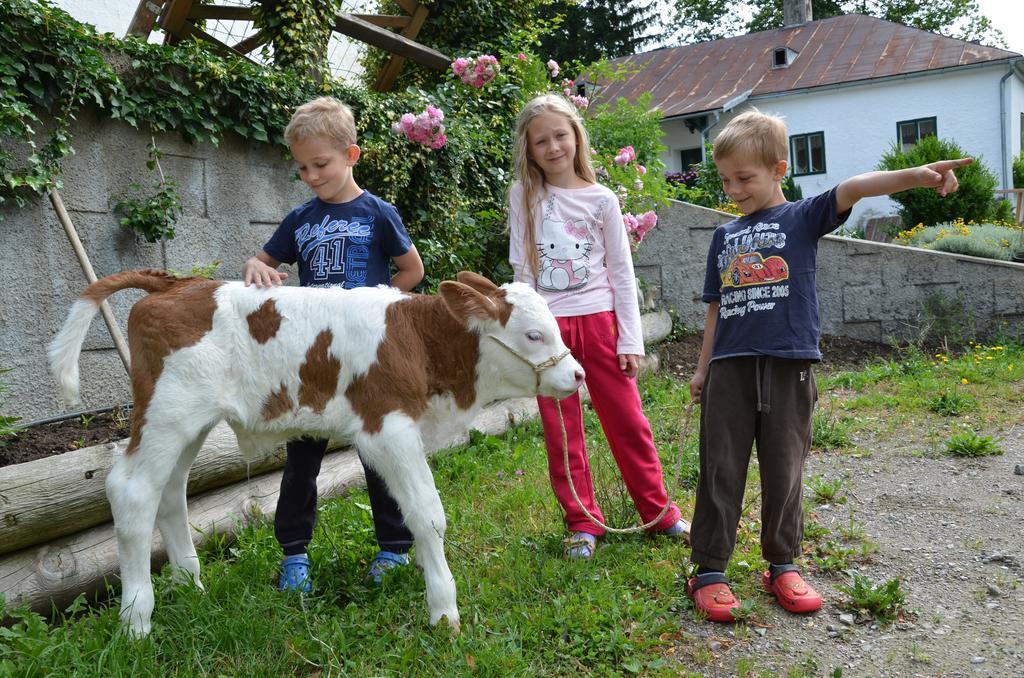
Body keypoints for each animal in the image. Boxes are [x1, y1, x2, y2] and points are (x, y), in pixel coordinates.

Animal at [48, 270, 585, 639]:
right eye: (534, 334)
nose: (576, 375)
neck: (418, 340)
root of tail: (175, 283)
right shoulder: (388, 428)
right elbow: (428, 515)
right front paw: (443, 609)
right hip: (167, 412)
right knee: (133, 491)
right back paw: (136, 622)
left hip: (188, 423)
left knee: (171, 492)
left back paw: (190, 587)